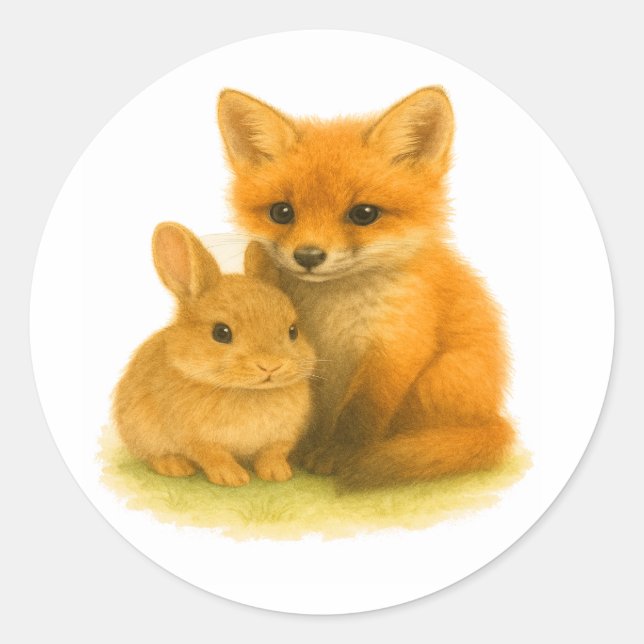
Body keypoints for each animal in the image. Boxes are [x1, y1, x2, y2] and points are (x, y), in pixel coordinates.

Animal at [112, 221, 315, 487]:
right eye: (221, 332)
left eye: (293, 331)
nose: (270, 366)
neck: (249, 392)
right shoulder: (196, 438)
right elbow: (214, 456)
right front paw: (232, 478)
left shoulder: (282, 436)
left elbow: (272, 453)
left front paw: (278, 474)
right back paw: (174, 466)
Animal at [216, 87, 515, 489]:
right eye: (282, 212)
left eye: (364, 214)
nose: (308, 256)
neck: (334, 312)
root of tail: (492, 418)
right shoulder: (307, 352)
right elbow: (306, 406)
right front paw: (297, 448)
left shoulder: (396, 346)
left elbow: (362, 411)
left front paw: (338, 454)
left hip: (439, 378)